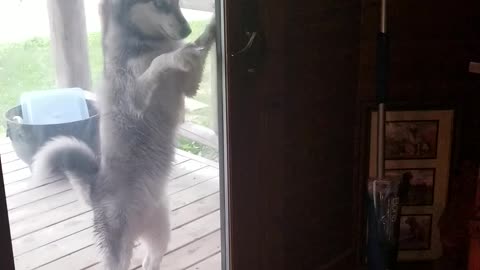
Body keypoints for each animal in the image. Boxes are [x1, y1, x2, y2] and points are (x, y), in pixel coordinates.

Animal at [31, 0, 216, 270]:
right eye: (159, 4)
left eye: (179, 4)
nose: (187, 30)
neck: (145, 43)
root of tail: (95, 189)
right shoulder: (136, 97)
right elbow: (159, 61)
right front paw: (175, 54)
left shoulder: (188, 86)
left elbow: (198, 50)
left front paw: (212, 27)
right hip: (118, 250)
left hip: (160, 233)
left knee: (151, 261)